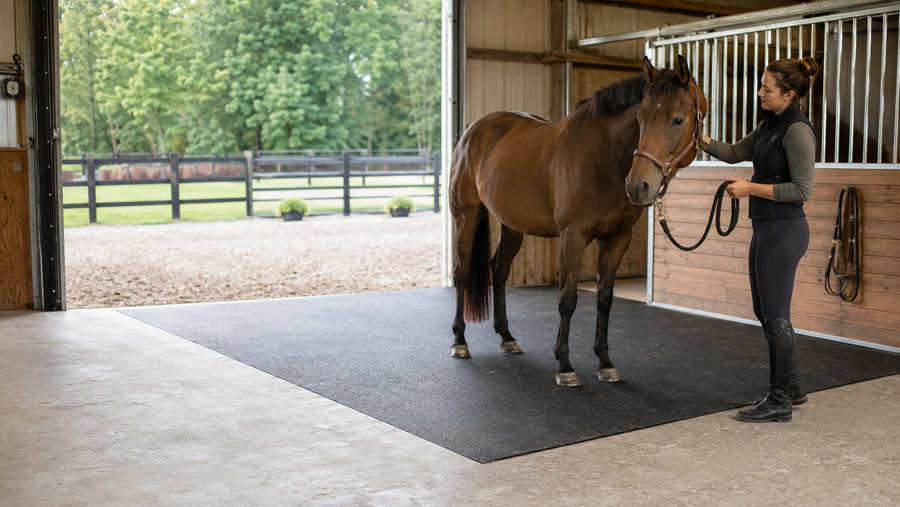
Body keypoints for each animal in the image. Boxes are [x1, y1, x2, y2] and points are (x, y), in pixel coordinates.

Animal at [448, 55, 707, 386]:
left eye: (677, 120)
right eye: (640, 119)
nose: (638, 186)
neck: (603, 157)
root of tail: (474, 131)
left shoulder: (616, 239)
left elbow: (605, 298)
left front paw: (605, 362)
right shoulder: (572, 237)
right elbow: (568, 299)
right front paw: (564, 366)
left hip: (513, 226)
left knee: (499, 269)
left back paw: (507, 337)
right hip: (465, 217)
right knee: (462, 272)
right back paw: (460, 342)